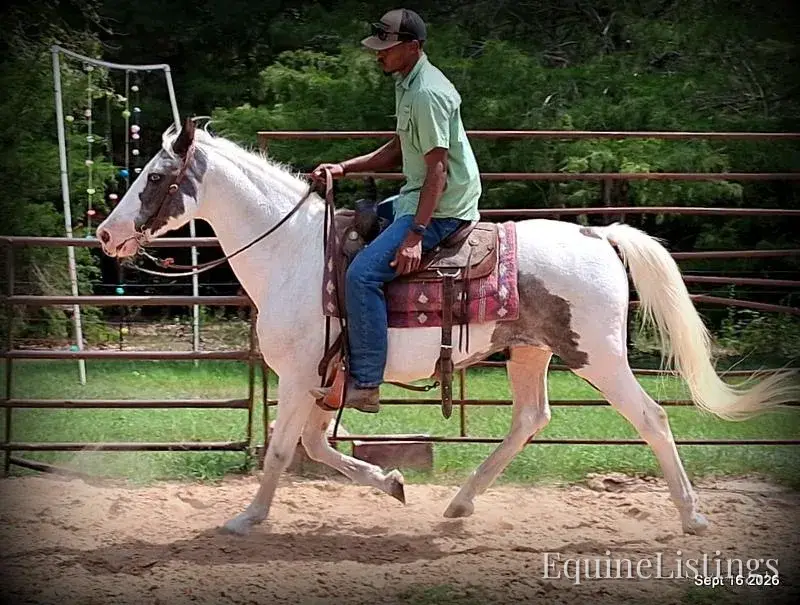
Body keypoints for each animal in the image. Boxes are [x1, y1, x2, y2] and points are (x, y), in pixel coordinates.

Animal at [96, 118, 796, 536]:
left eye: (155, 176)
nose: (105, 234)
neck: (293, 253)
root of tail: (598, 235)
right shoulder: (327, 379)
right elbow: (317, 448)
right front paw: (393, 483)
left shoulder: (298, 377)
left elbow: (281, 449)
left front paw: (248, 518)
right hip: (529, 353)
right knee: (530, 419)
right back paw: (459, 506)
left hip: (596, 356)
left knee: (651, 418)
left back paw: (693, 517)